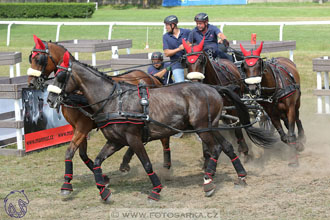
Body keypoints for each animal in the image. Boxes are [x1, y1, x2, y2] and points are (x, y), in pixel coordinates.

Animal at [27, 34, 171, 194]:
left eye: (39, 59)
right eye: (30, 58)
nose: (31, 83)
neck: (78, 92)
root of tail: (151, 77)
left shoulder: (82, 127)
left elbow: (70, 151)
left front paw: (67, 184)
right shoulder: (77, 127)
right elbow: (82, 154)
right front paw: (103, 178)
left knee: (164, 139)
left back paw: (166, 166)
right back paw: (126, 161)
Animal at [46, 55, 278, 202]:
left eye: (60, 76)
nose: (49, 99)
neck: (114, 101)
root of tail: (213, 88)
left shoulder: (133, 139)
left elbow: (147, 164)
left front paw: (155, 190)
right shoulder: (115, 141)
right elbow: (95, 162)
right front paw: (103, 191)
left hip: (202, 129)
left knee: (215, 149)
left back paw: (208, 181)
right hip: (209, 127)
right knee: (227, 147)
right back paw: (240, 176)